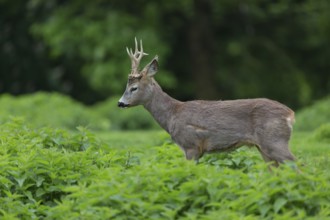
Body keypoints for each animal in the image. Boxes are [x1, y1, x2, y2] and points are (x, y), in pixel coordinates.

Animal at [117, 38, 296, 166]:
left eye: (134, 88)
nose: (120, 103)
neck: (172, 115)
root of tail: (290, 114)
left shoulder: (191, 144)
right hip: (264, 148)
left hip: (275, 140)